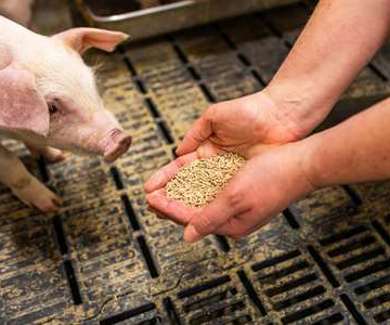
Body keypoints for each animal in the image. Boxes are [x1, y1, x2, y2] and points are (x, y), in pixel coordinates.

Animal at [0, 15, 133, 210]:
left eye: (93, 83)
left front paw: (58, 157)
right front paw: (54, 205)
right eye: (51, 108)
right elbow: (12, 164)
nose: (122, 139)